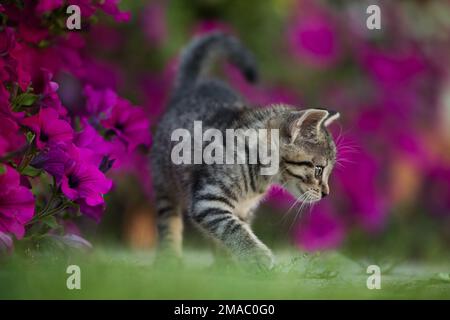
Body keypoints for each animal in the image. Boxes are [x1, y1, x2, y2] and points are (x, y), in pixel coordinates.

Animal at [149, 32, 340, 268]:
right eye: (318, 170)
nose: (326, 193)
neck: (260, 175)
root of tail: (191, 89)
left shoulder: (243, 209)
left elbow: (231, 233)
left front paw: (231, 268)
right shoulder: (208, 199)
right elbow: (232, 228)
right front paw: (258, 256)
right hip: (164, 182)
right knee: (169, 221)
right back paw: (169, 262)